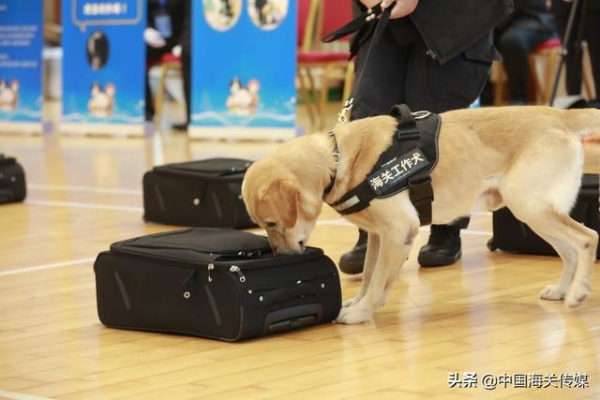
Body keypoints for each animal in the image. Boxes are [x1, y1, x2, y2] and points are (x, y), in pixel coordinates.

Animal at [243, 106, 600, 324]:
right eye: (263, 226)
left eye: (271, 223)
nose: (281, 255)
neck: (339, 159)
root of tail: (559, 114)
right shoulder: (379, 236)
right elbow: (370, 275)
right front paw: (359, 303)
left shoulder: (400, 229)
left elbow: (377, 281)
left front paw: (360, 313)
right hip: (532, 211)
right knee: (569, 251)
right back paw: (561, 290)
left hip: (528, 204)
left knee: (586, 238)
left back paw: (577, 293)